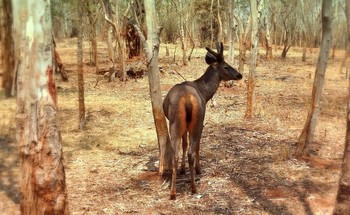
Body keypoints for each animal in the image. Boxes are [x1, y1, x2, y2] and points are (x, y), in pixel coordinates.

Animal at [163, 42, 242, 200]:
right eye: (226, 66)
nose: (239, 74)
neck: (205, 93)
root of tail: (187, 100)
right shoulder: (202, 119)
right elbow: (197, 145)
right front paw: (198, 169)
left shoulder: (185, 127)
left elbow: (184, 144)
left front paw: (183, 170)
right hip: (197, 121)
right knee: (192, 151)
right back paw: (194, 187)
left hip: (175, 122)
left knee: (176, 153)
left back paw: (173, 192)